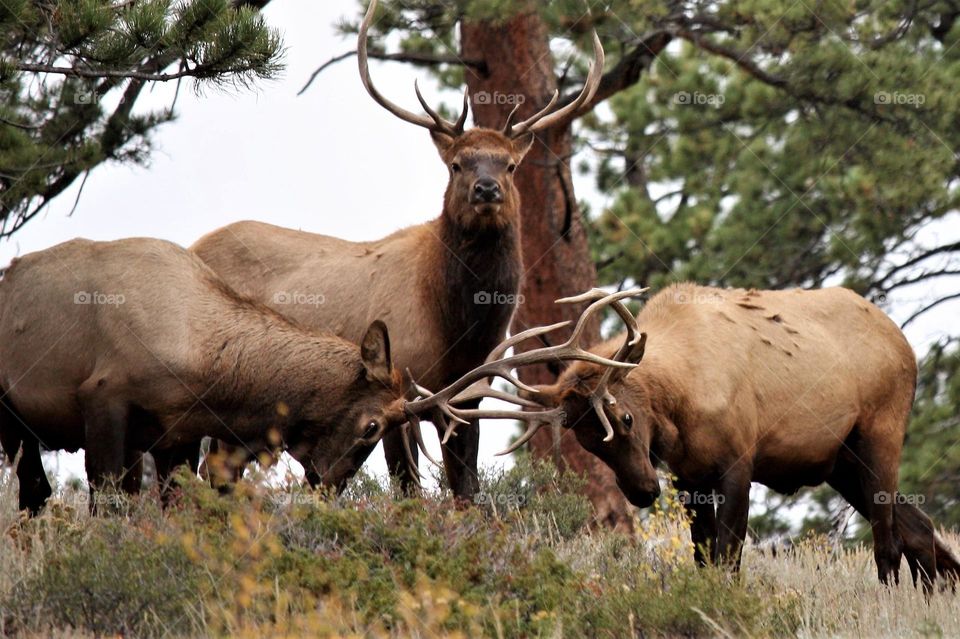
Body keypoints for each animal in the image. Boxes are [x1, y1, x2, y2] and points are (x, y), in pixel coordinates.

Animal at [0, 238, 632, 516]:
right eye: (372, 425)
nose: (327, 486)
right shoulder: (104, 398)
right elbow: (109, 503)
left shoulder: (174, 436)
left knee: (34, 492)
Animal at [190, 0, 604, 500]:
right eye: (457, 164)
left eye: (509, 164)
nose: (486, 189)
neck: (459, 329)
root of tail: (194, 243)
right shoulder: (399, 388)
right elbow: (407, 486)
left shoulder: (469, 395)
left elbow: (466, 488)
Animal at [496, 284, 960, 592]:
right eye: (587, 441)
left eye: (625, 417)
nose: (643, 491)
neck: (679, 404)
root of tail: (905, 343)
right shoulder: (688, 476)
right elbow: (703, 559)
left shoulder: (738, 463)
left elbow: (728, 560)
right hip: (840, 462)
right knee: (920, 528)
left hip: (880, 433)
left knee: (888, 544)